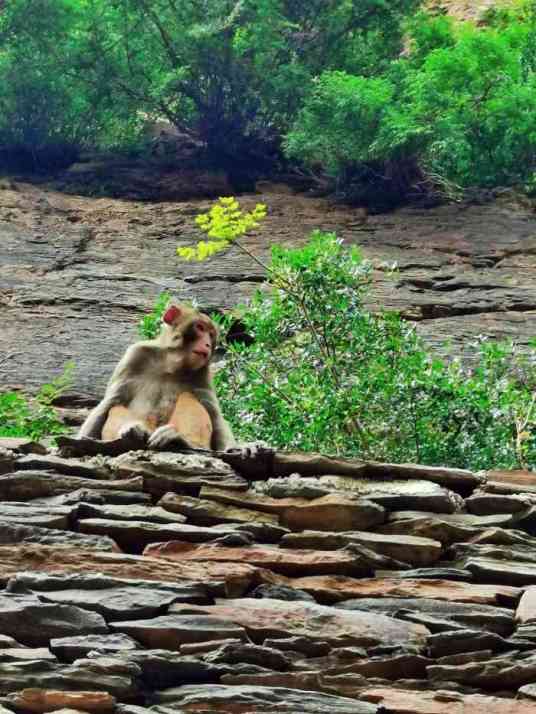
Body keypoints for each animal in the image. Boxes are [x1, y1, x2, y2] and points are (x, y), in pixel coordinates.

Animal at [78, 302, 238, 450]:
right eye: (200, 328)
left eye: (211, 335)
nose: (207, 345)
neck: (171, 364)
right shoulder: (135, 355)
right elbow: (110, 402)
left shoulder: (203, 374)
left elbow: (214, 414)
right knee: (115, 407)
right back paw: (133, 431)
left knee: (188, 397)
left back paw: (179, 440)